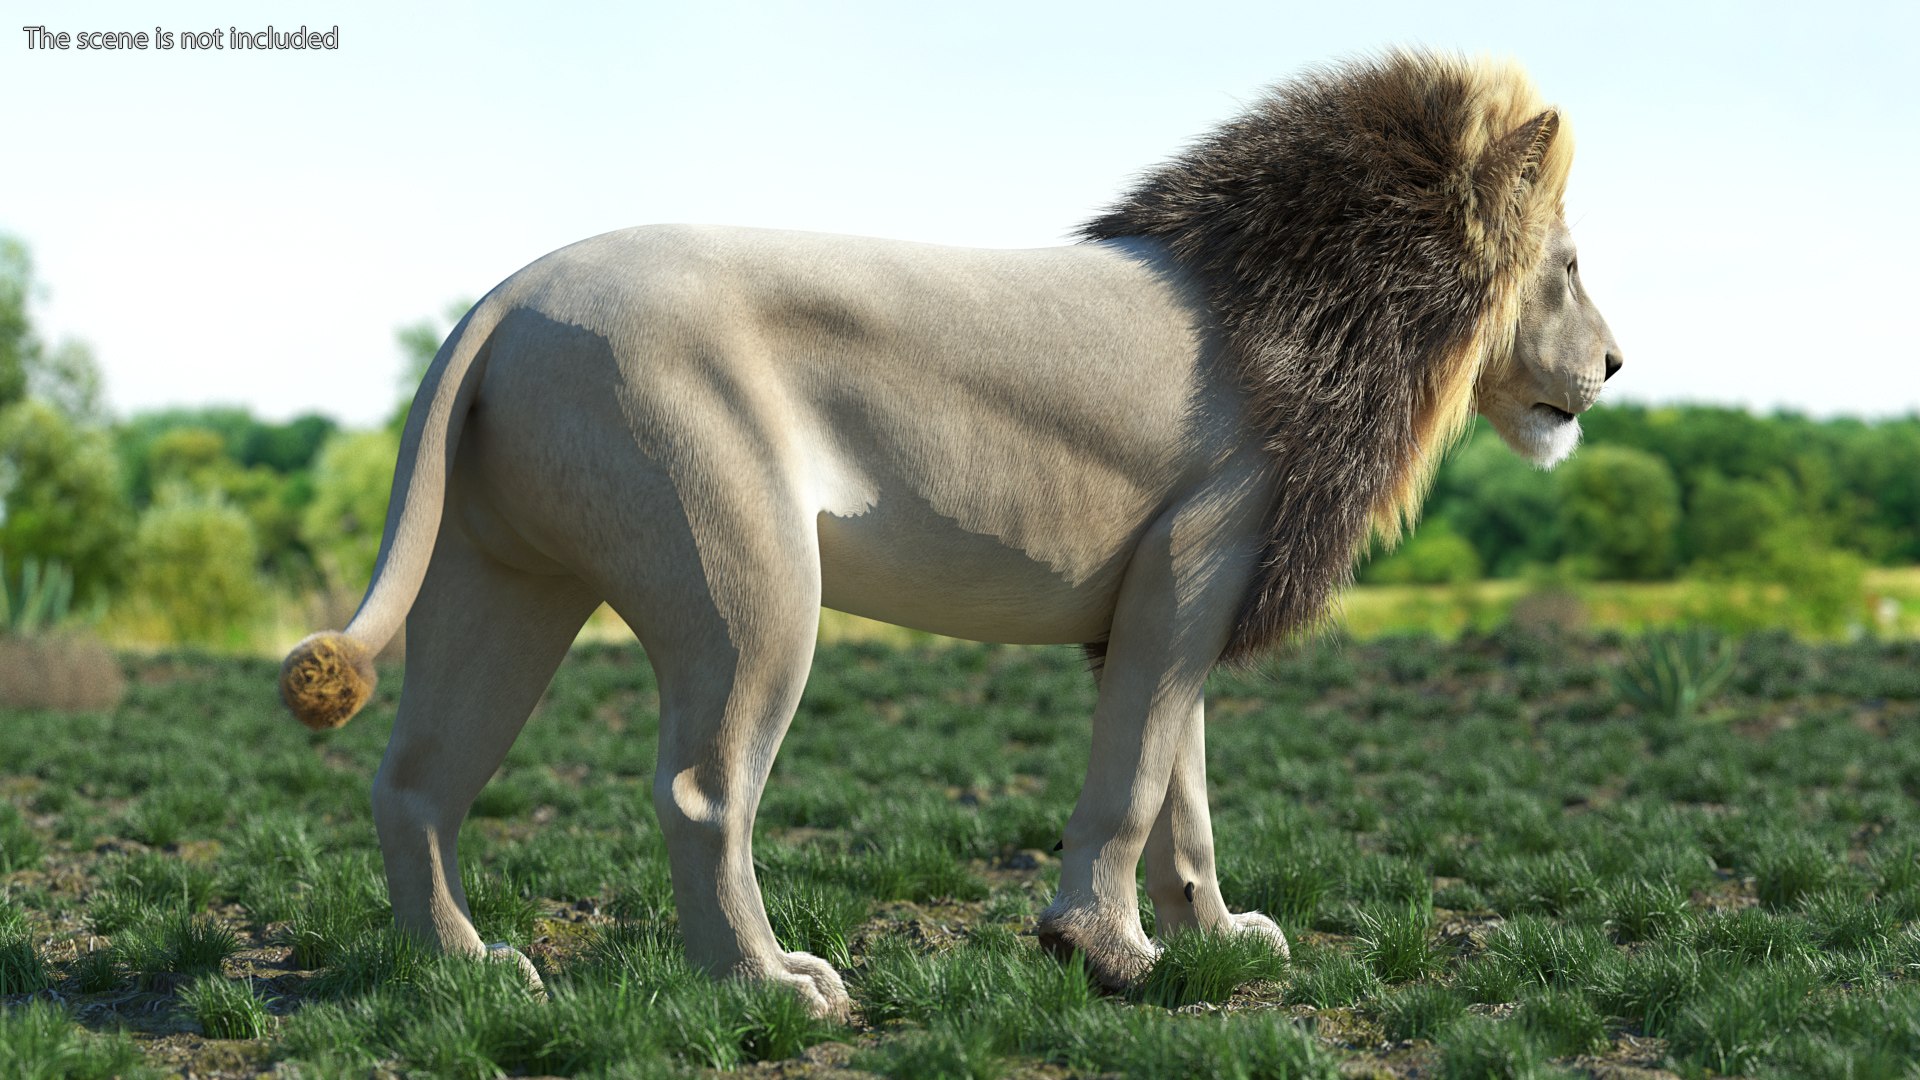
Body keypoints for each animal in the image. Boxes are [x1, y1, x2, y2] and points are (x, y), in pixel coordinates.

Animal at [280, 50, 1621, 1018]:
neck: (1318, 301)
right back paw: (770, 988)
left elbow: (1182, 787)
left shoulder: (1185, 589)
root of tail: (507, 295)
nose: (1612, 364)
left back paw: (464, 974)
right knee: (702, 792)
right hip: (749, 582)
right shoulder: (1198, 554)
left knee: (416, 783)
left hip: (505, 578)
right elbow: (1135, 782)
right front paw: (1108, 954)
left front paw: (1220, 938)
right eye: (1566, 267)